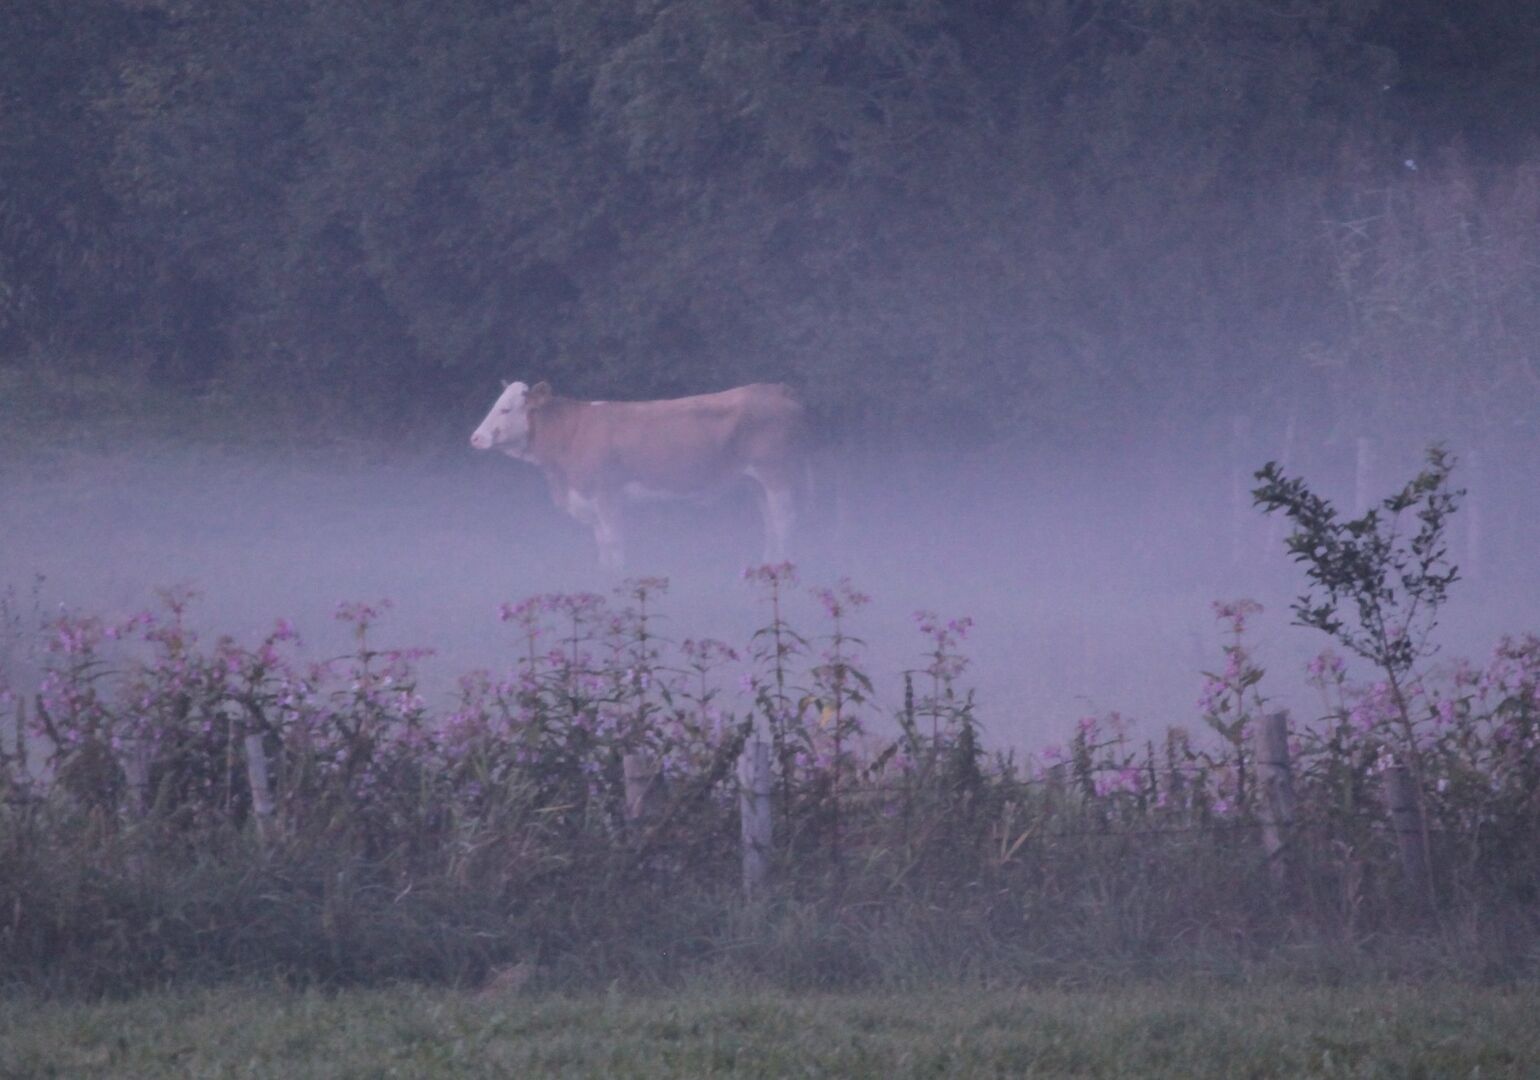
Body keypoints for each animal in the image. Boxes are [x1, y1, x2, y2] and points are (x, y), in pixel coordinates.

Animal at [471, 381, 806, 571]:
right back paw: (767, 565)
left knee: (785, 521)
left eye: (506, 409)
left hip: (778, 474)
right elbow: (602, 545)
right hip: (756, 481)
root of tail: (772, 388)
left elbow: (614, 541)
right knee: (770, 521)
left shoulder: (607, 494)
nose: (476, 438)